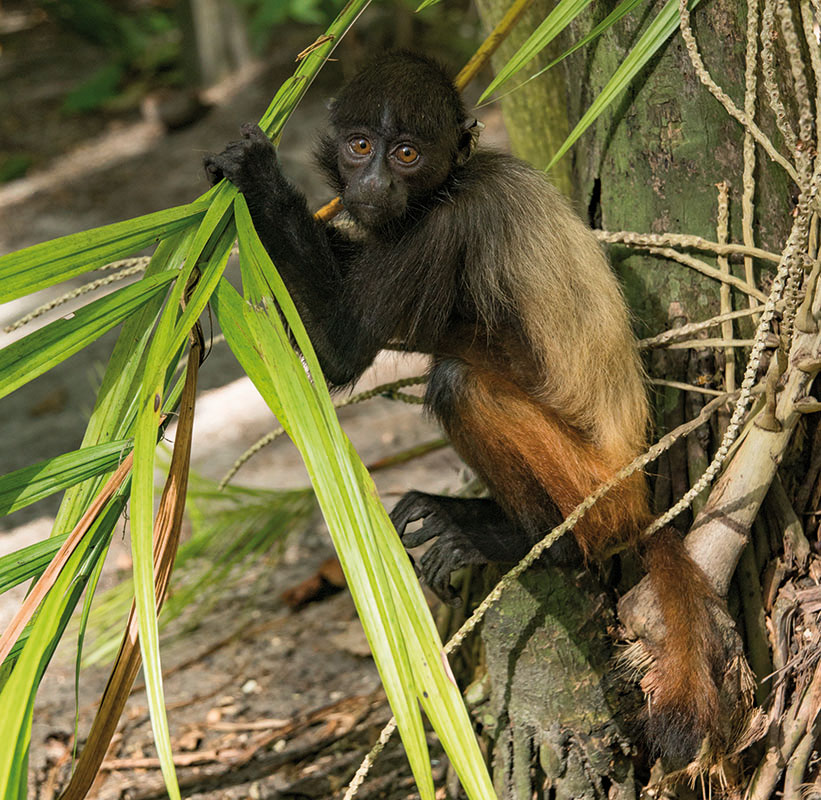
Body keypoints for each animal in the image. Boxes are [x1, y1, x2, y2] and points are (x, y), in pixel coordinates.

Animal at [205, 51, 724, 764]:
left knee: (459, 380)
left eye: (406, 154)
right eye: (360, 147)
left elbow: (338, 348)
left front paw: (257, 176)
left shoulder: (449, 219)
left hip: (589, 483)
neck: (451, 180)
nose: (373, 184)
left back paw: (535, 541)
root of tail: (635, 487)